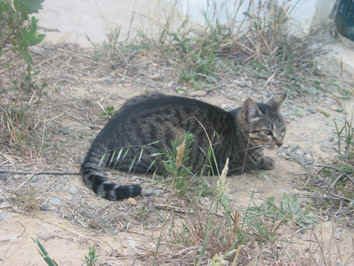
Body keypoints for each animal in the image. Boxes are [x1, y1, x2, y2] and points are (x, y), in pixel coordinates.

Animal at [80, 93, 284, 200]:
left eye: (283, 129)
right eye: (267, 132)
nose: (280, 143)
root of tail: (105, 132)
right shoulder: (234, 164)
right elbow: (256, 162)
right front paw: (267, 160)